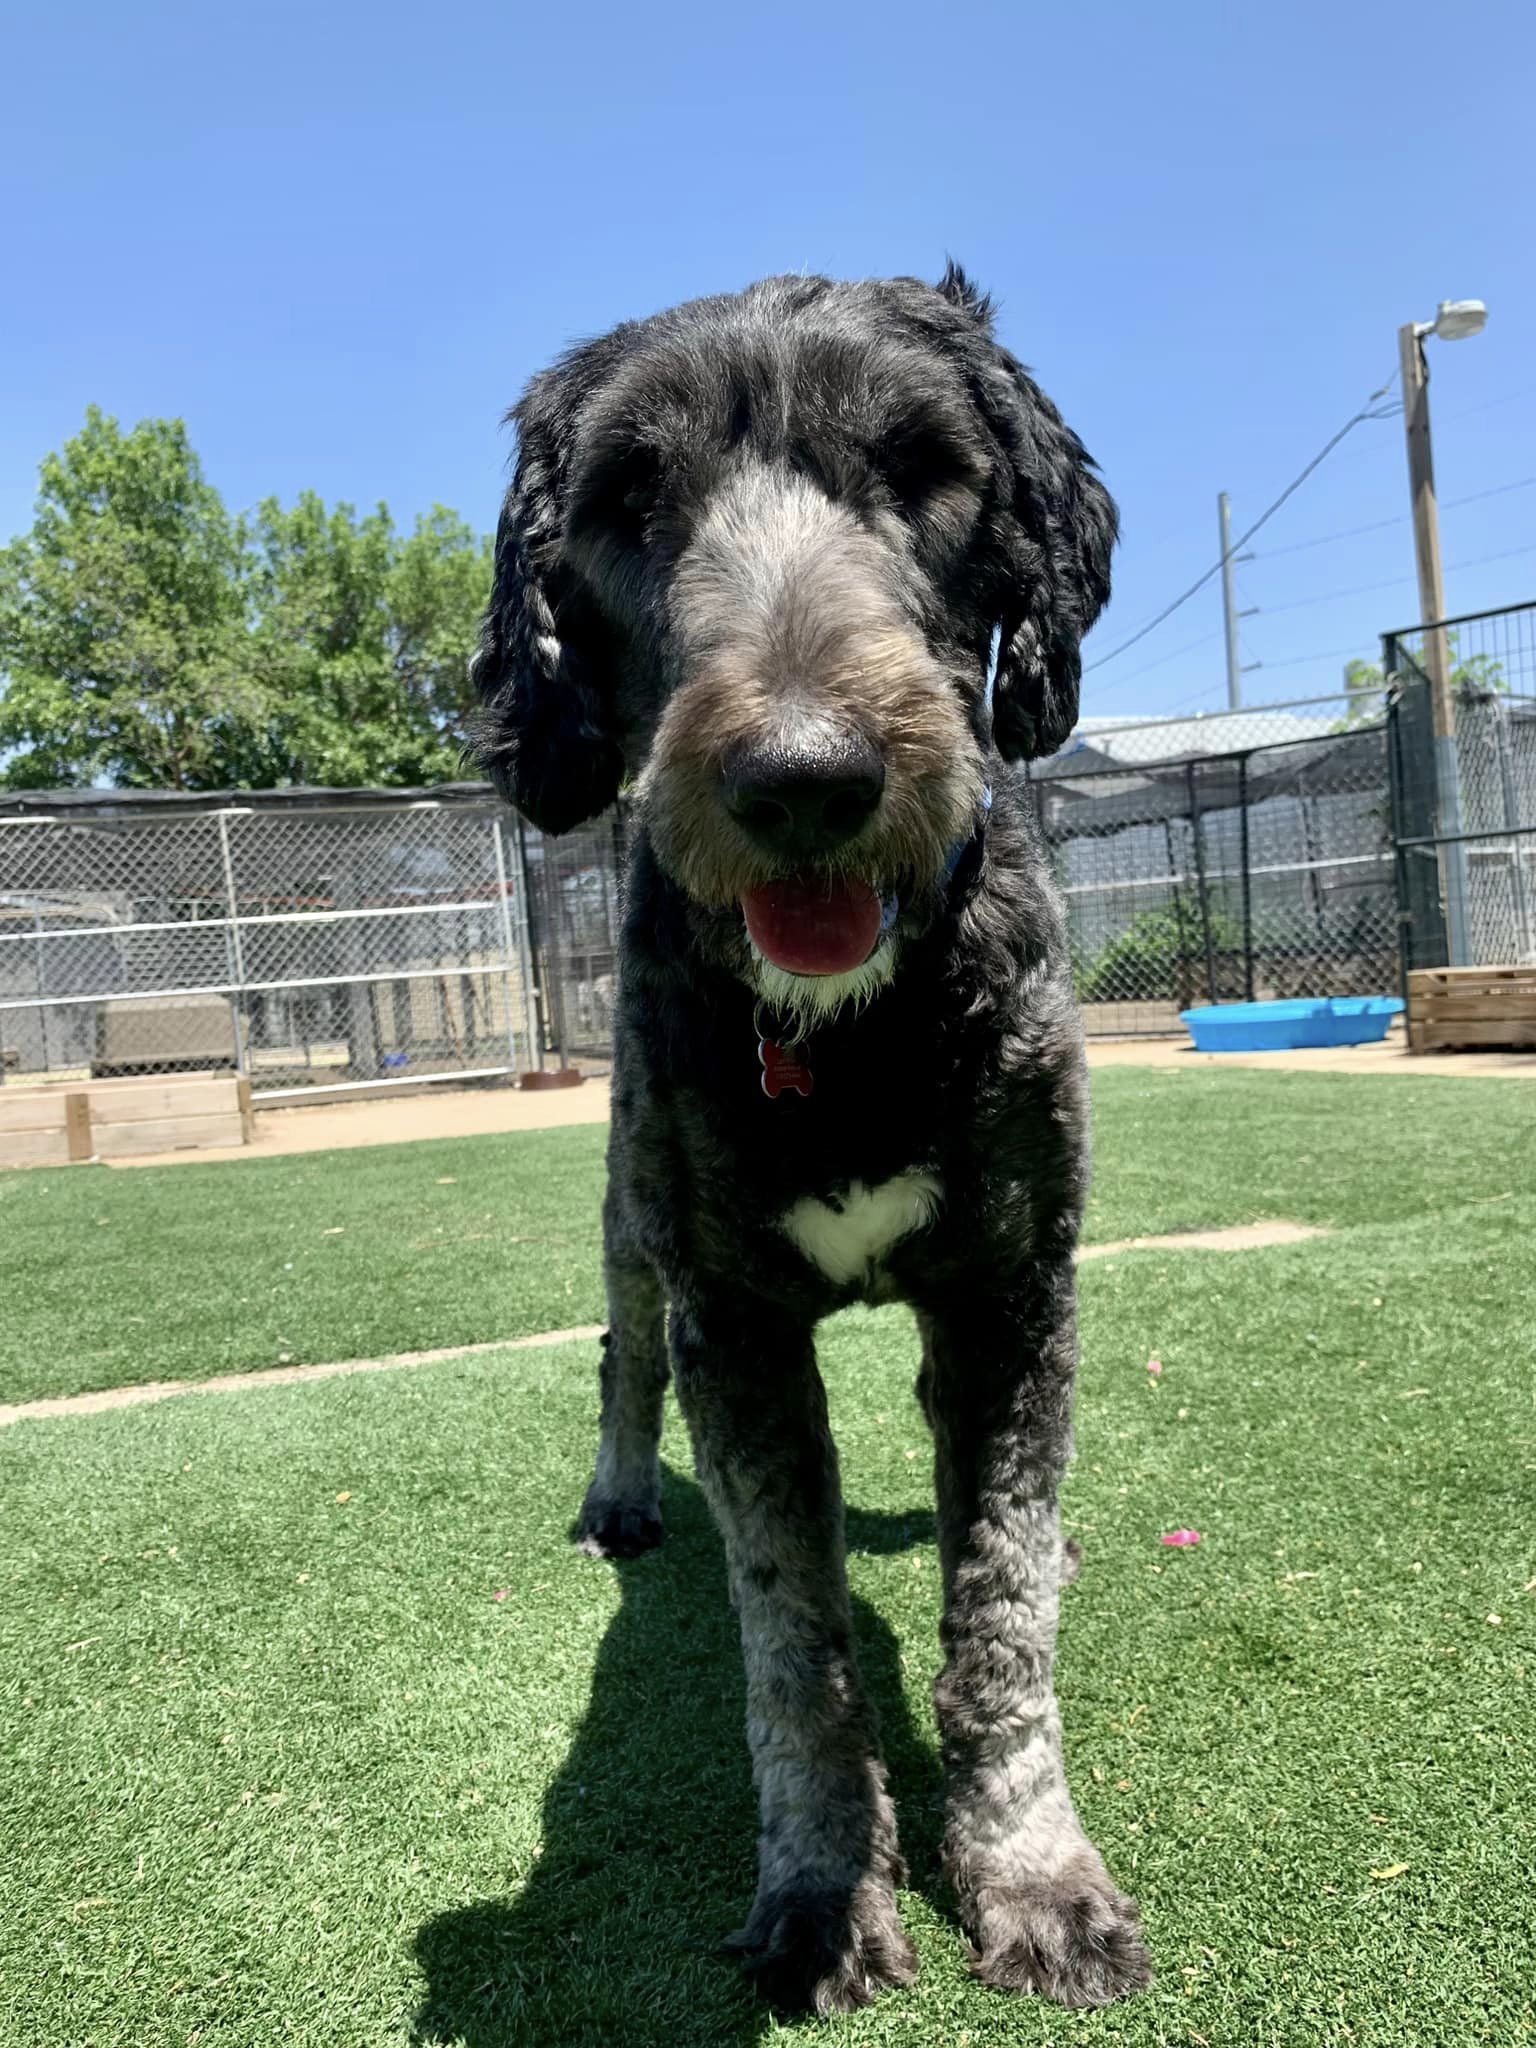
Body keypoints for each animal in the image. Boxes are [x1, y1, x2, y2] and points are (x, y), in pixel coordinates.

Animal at [475, 268, 1146, 2015]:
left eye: (923, 468)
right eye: (626, 500)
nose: (801, 778)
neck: (843, 1040)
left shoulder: (1010, 1295)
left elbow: (997, 1621)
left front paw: (1034, 1877)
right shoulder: (739, 1323)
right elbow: (794, 1647)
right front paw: (824, 1892)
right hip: (628, 1221)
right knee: (620, 1356)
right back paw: (624, 1496)